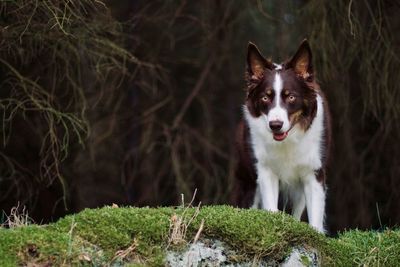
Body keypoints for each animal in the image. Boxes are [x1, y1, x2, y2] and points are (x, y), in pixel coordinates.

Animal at [234, 39, 332, 234]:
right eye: (265, 98)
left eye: (291, 97)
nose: (275, 125)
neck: (289, 139)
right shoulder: (265, 171)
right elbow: (271, 209)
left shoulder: (314, 172)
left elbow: (315, 220)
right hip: (248, 180)